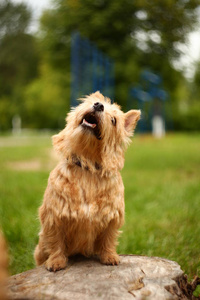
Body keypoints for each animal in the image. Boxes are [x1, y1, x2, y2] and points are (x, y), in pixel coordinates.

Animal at [34, 91, 141, 272]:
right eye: (94, 102)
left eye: (114, 120)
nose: (99, 105)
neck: (88, 166)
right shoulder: (54, 215)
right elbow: (56, 240)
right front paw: (56, 261)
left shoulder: (112, 216)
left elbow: (108, 238)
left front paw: (110, 256)